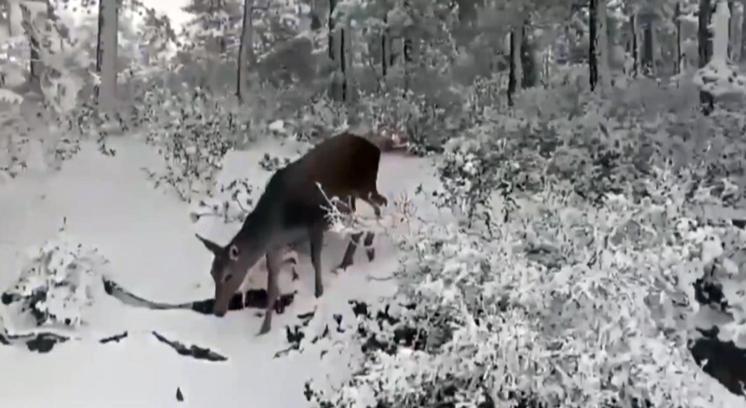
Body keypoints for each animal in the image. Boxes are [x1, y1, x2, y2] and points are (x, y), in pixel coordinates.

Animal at [195, 131, 386, 334]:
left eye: (228, 275)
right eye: (212, 273)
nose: (217, 311)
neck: (277, 224)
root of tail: (375, 148)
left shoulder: (315, 223)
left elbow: (315, 260)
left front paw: (319, 292)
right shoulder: (275, 247)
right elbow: (272, 285)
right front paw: (264, 328)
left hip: (365, 186)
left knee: (381, 203)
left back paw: (366, 247)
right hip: (350, 197)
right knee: (363, 218)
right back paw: (354, 257)